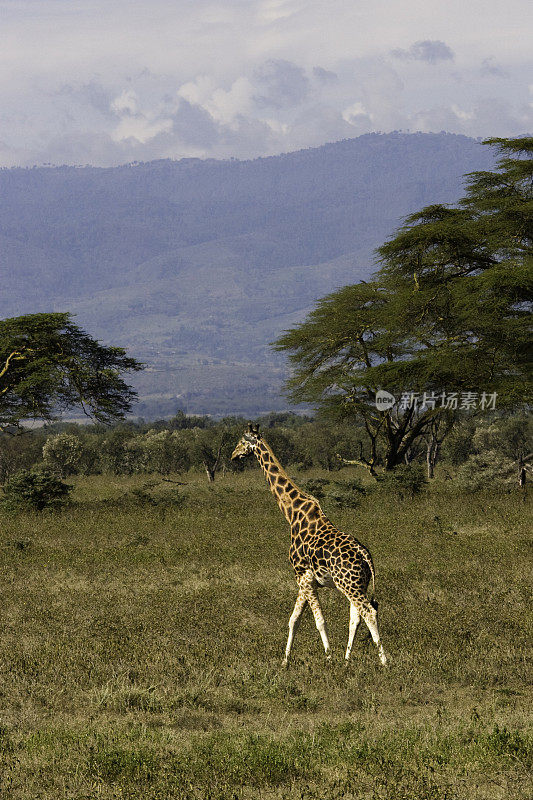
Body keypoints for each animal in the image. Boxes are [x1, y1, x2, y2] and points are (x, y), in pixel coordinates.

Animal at [230, 424, 386, 668]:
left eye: (241, 441)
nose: (233, 455)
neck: (292, 514)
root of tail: (366, 556)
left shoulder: (303, 576)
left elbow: (319, 621)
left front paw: (328, 657)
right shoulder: (305, 580)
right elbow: (293, 619)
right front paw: (285, 661)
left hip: (348, 584)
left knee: (369, 612)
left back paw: (385, 662)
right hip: (357, 584)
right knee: (356, 616)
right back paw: (347, 660)